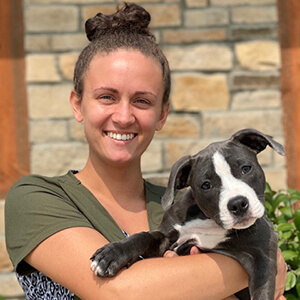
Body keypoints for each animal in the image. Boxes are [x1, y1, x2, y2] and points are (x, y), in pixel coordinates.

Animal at [90, 129, 284, 300]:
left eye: (246, 168)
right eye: (206, 185)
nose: (237, 204)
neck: (211, 222)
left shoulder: (263, 258)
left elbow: (261, 292)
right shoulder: (165, 238)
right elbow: (142, 237)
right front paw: (112, 254)